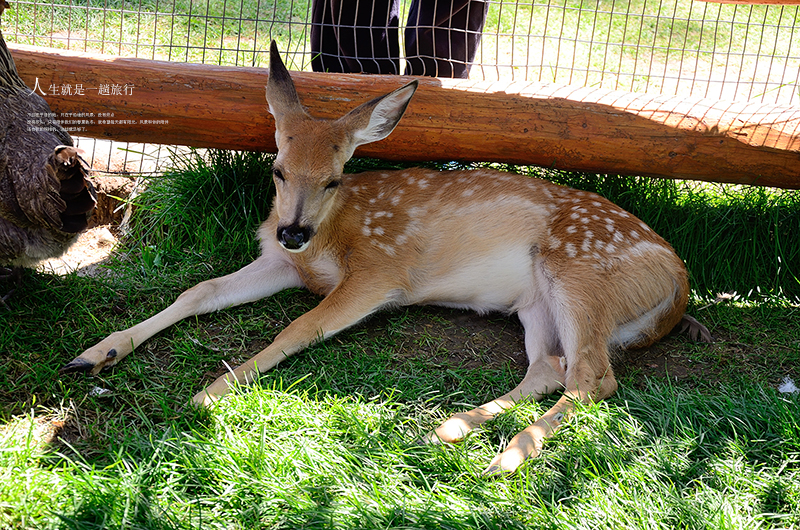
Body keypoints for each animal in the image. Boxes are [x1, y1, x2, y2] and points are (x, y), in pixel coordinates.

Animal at [65, 39, 708, 472]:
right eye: (277, 170)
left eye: (333, 178)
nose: (292, 232)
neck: (331, 236)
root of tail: (680, 283)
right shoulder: (281, 263)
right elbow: (198, 291)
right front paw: (97, 353)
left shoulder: (380, 272)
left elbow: (302, 326)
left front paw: (212, 391)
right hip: (537, 303)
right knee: (552, 368)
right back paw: (449, 430)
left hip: (582, 273)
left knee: (595, 377)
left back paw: (506, 458)